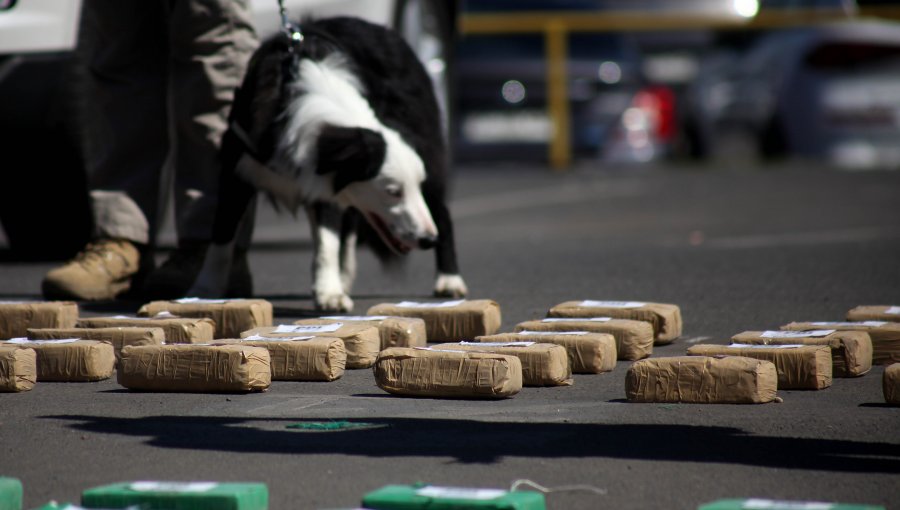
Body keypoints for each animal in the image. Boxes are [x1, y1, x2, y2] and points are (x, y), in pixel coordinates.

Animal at [191, 15, 472, 310]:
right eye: (393, 192)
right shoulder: (238, 168)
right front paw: (206, 289)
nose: (428, 240)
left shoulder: (324, 180)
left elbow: (328, 241)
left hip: (426, 142)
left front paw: (329, 293)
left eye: (404, 189)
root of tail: (385, 30)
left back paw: (449, 280)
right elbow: (222, 235)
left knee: (441, 212)